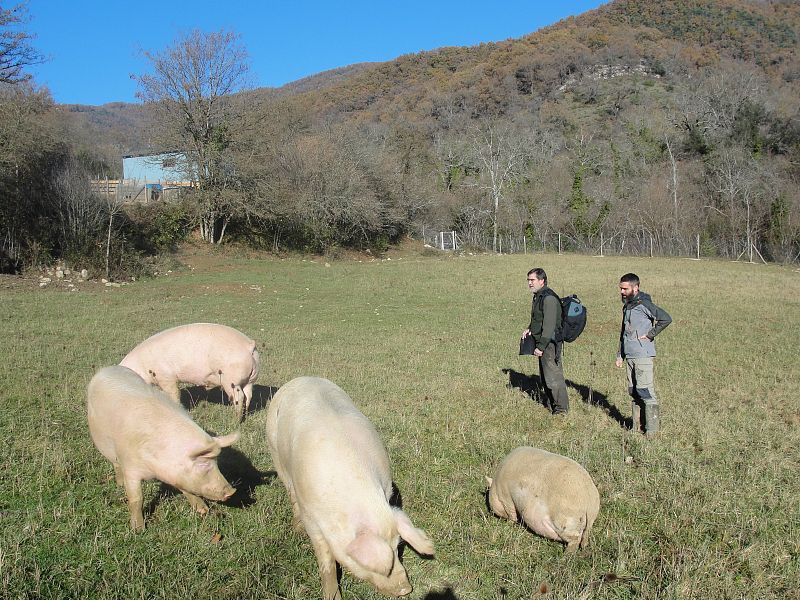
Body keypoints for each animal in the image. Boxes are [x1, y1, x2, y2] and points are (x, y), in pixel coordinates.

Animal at [87, 366, 239, 528]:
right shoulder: (130, 467)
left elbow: (187, 489)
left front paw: (203, 511)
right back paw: (120, 485)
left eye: (216, 462)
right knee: (115, 463)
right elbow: (136, 499)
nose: (232, 491)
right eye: (203, 464)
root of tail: (106, 369)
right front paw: (138, 529)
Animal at [119, 324, 260, 418]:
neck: (142, 366)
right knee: (248, 396)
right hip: (249, 380)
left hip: (231, 380)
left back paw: (235, 418)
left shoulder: (166, 376)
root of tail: (249, 346)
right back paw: (244, 415)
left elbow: (174, 393)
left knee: (239, 397)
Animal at [266, 378, 434, 596]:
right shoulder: (311, 516)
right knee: (289, 490)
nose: (406, 588)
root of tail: (301, 378)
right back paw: (297, 528)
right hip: (275, 450)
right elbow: (326, 560)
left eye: (397, 546)